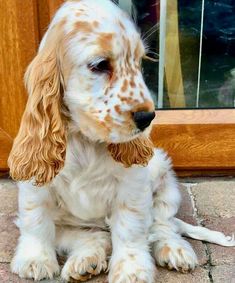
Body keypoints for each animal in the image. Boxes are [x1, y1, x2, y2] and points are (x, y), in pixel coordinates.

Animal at [7, 0, 235, 282]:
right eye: (100, 64)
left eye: (138, 63)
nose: (147, 117)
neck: (86, 139)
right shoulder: (36, 184)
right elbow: (35, 221)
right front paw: (35, 260)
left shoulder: (132, 185)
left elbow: (130, 230)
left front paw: (132, 270)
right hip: (72, 226)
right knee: (95, 237)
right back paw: (85, 261)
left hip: (165, 180)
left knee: (162, 224)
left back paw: (174, 250)